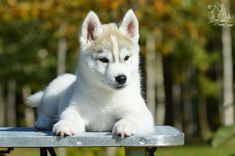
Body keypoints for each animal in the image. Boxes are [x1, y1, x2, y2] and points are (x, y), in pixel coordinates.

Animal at [26, 9, 154, 138]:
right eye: (103, 59)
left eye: (126, 58)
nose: (122, 78)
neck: (107, 96)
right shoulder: (75, 109)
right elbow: (69, 116)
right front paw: (65, 124)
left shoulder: (142, 113)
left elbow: (132, 118)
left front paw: (124, 125)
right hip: (52, 93)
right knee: (44, 111)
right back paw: (43, 122)